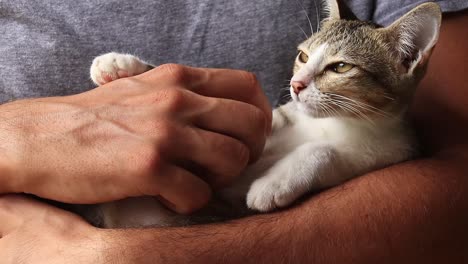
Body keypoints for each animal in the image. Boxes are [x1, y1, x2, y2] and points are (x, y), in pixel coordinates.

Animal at [87, 0, 442, 227]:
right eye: (303, 56)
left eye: (340, 66)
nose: (297, 84)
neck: (330, 123)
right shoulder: (274, 117)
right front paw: (123, 64)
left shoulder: (385, 154)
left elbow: (326, 152)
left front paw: (274, 184)